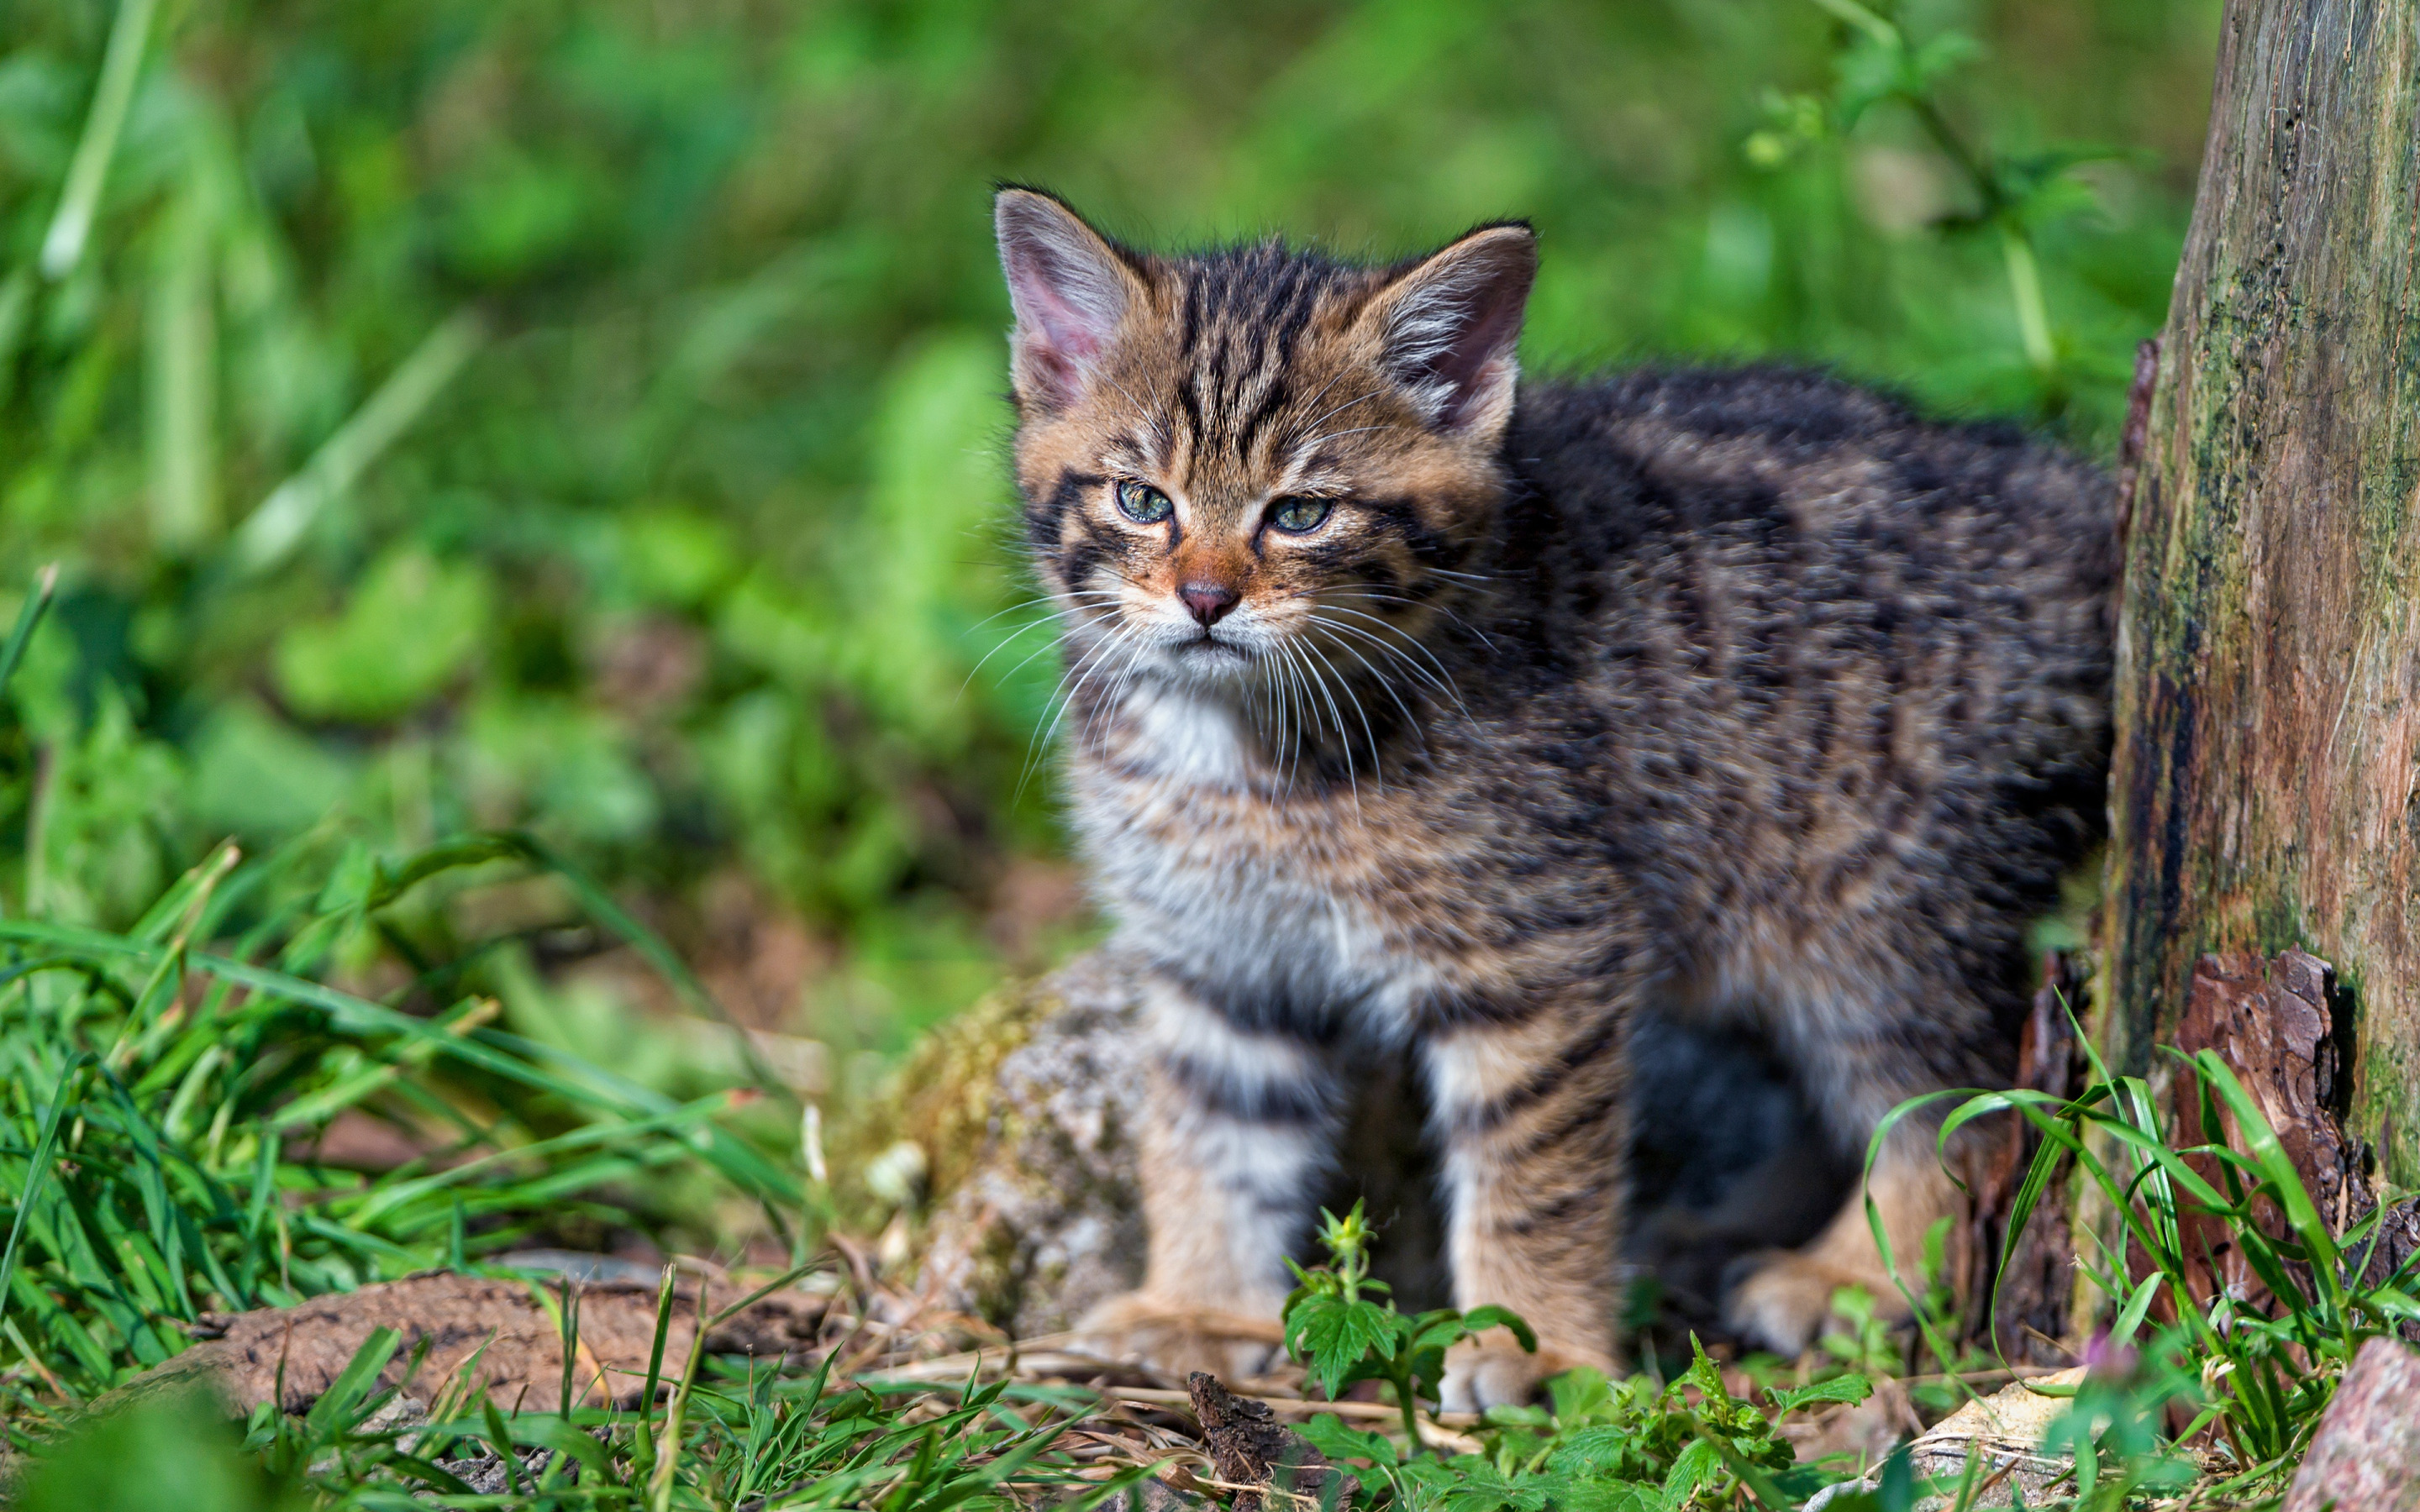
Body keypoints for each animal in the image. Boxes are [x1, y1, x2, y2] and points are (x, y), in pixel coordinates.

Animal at [992, 188, 2110, 1403]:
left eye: (1300, 515)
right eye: (1142, 499)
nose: (1203, 599)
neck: (1239, 748)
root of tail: (2074, 502)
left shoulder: (1541, 952)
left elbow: (1535, 1167)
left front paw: (1536, 1346)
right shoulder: (1223, 962)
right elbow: (1214, 1130)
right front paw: (1198, 1300)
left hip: (1888, 905)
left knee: (1961, 1107)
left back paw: (1854, 1275)